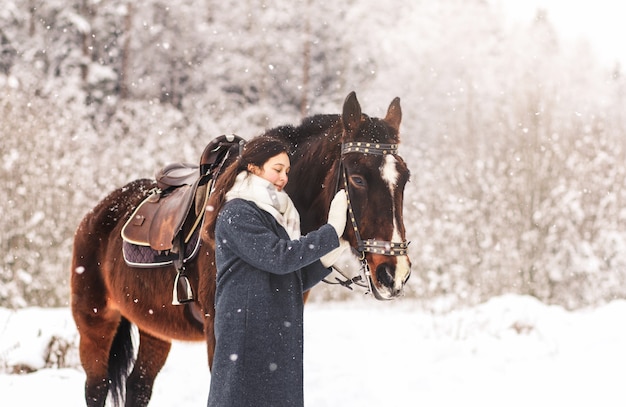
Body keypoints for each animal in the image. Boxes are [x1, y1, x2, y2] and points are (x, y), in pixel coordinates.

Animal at [69, 91, 410, 406]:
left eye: (405, 179)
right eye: (357, 178)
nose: (394, 272)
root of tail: (97, 212)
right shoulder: (217, 334)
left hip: (154, 329)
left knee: (138, 386)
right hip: (95, 323)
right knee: (96, 388)